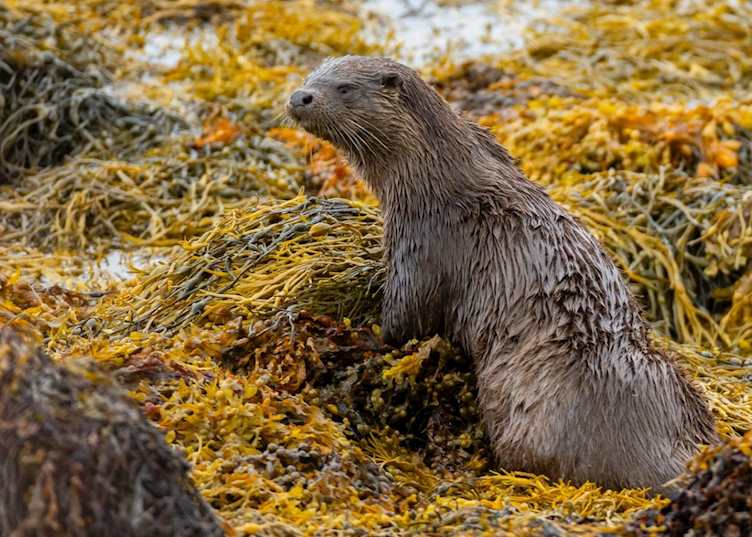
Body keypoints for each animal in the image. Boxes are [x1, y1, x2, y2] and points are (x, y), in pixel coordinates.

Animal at [287, 55, 717, 491]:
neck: (432, 179)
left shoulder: (425, 246)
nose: (299, 96)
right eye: (311, 76)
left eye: (344, 88)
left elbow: (403, 323)